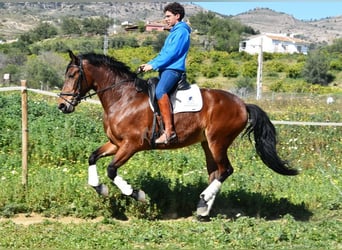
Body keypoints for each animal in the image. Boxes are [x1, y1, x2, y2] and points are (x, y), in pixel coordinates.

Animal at [57, 49, 298, 218]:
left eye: (73, 74)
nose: (62, 106)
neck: (123, 98)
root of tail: (243, 105)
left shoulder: (132, 145)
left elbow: (111, 169)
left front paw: (137, 194)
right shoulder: (115, 144)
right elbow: (92, 157)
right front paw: (100, 188)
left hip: (218, 141)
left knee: (226, 170)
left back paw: (204, 199)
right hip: (207, 144)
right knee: (215, 172)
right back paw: (203, 209)